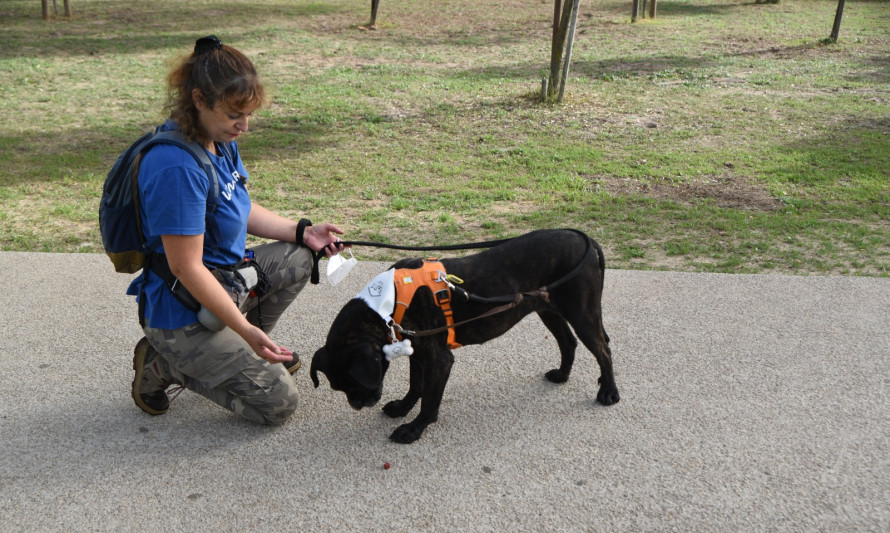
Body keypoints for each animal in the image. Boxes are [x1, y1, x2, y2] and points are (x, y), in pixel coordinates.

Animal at [310, 228, 616, 440]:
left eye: (354, 383)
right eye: (339, 388)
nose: (357, 405)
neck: (388, 302)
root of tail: (587, 240)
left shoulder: (439, 359)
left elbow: (429, 399)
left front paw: (414, 429)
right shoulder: (418, 352)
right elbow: (416, 386)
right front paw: (402, 408)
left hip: (583, 313)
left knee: (603, 350)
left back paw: (609, 392)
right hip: (547, 308)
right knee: (568, 342)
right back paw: (563, 375)